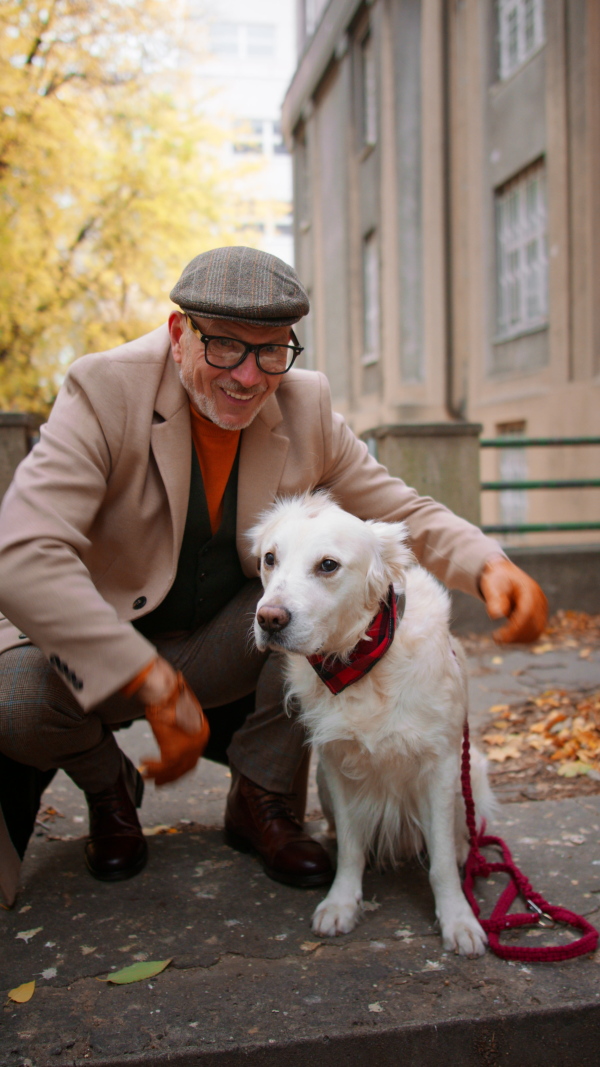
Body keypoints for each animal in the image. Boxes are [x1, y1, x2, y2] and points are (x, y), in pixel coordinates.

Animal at [249, 492, 493, 960]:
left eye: (327, 565)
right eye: (270, 559)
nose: (269, 619)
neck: (362, 662)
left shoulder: (439, 766)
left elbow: (439, 862)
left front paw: (458, 919)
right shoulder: (338, 766)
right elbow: (351, 849)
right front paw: (341, 904)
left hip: (470, 771)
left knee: (459, 830)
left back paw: (463, 851)